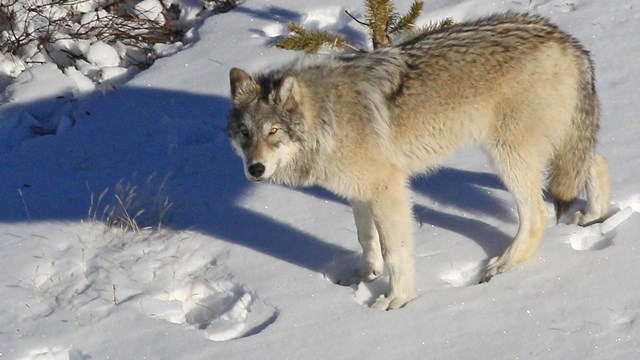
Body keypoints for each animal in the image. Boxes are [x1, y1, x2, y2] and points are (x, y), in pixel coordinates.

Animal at [225, 11, 608, 310]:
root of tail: (565, 38)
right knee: (596, 161)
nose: (255, 169)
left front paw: (397, 299)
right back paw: (594, 216)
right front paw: (365, 276)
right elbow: (366, 239)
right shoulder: (359, 191)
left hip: (508, 155)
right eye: (245, 133)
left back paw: (503, 265)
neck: (327, 117)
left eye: (274, 131)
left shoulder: (387, 188)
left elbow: (395, 250)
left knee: (538, 215)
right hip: (554, 145)